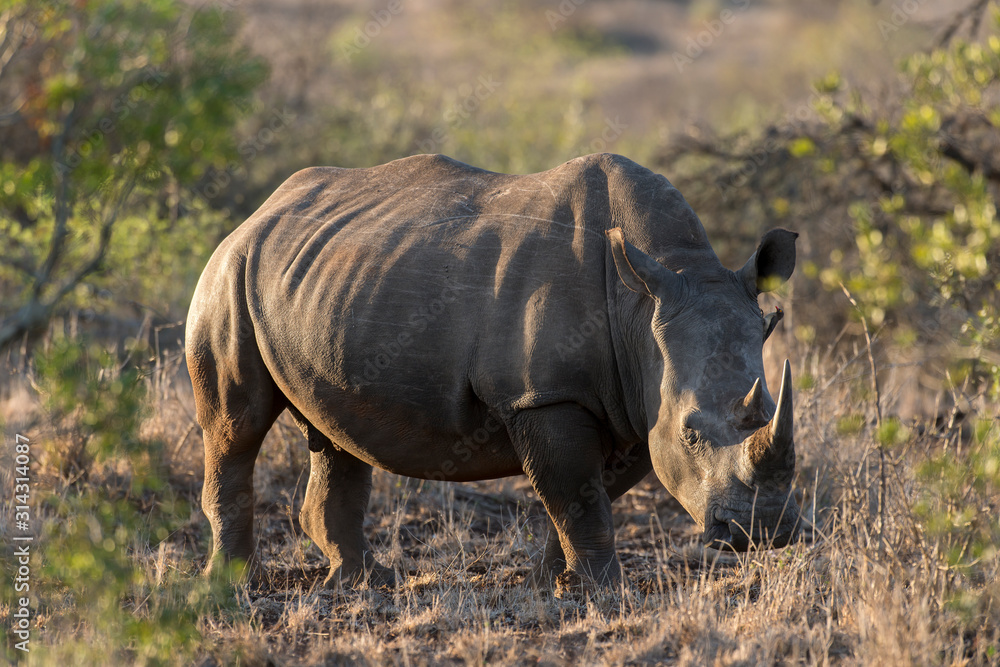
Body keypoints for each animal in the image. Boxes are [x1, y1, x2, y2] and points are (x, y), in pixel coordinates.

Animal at [186, 153, 803, 588]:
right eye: (691, 434)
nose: (764, 531)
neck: (646, 300)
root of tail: (258, 213)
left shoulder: (633, 401)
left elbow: (585, 494)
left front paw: (555, 582)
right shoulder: (546, 394)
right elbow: (577, 493)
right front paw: (605, 589)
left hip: (326, 281)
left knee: (335, 429)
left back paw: (362, 581)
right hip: (230, 272)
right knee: (236, 426)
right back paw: (234, 585)